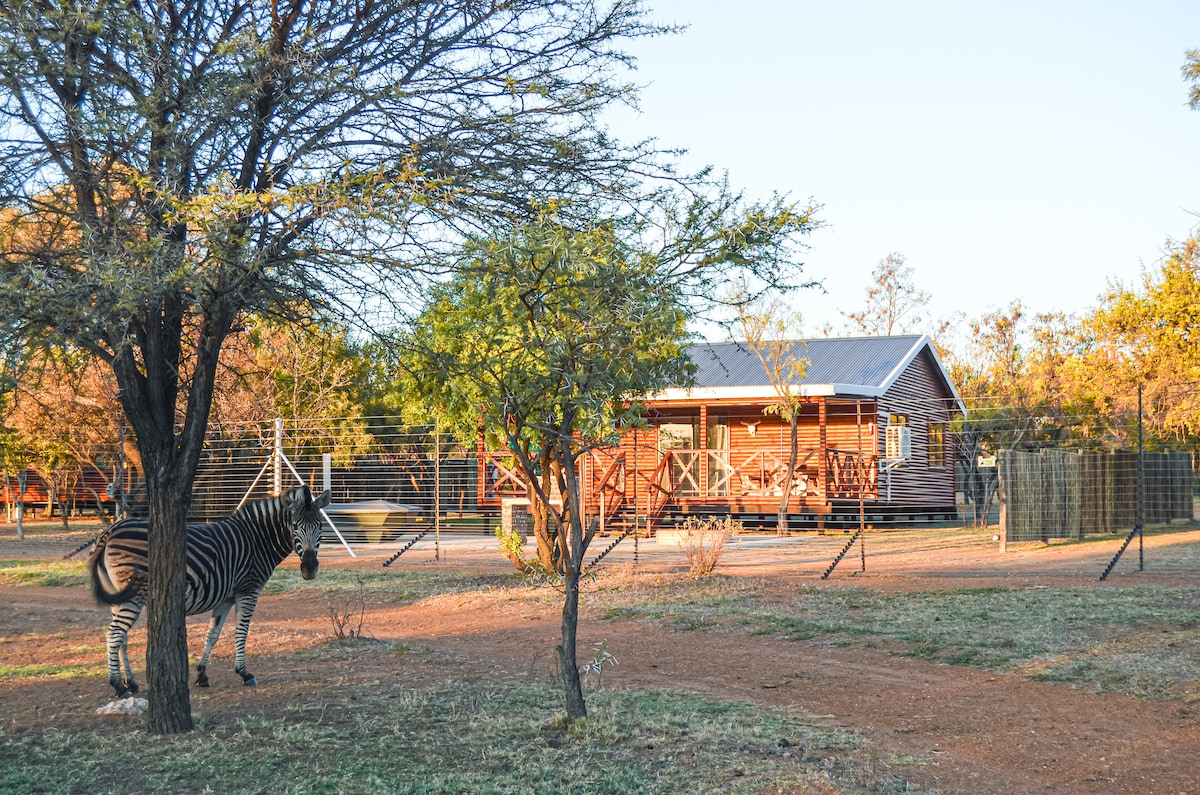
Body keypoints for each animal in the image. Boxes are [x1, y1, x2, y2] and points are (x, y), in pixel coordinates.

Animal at [87, 485, 333, 696]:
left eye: (320, 526)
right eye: (295, 526)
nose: (309, 568)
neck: (258, 540)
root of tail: (110, 531)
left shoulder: (225, 598)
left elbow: (213, 634)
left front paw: (202, 674)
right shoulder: (248, 590)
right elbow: (241, 632)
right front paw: (244, 673)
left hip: (120, 596)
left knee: (122, 637)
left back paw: (131, 682)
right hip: (133, 595)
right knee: (114, 633)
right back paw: (118, 685)